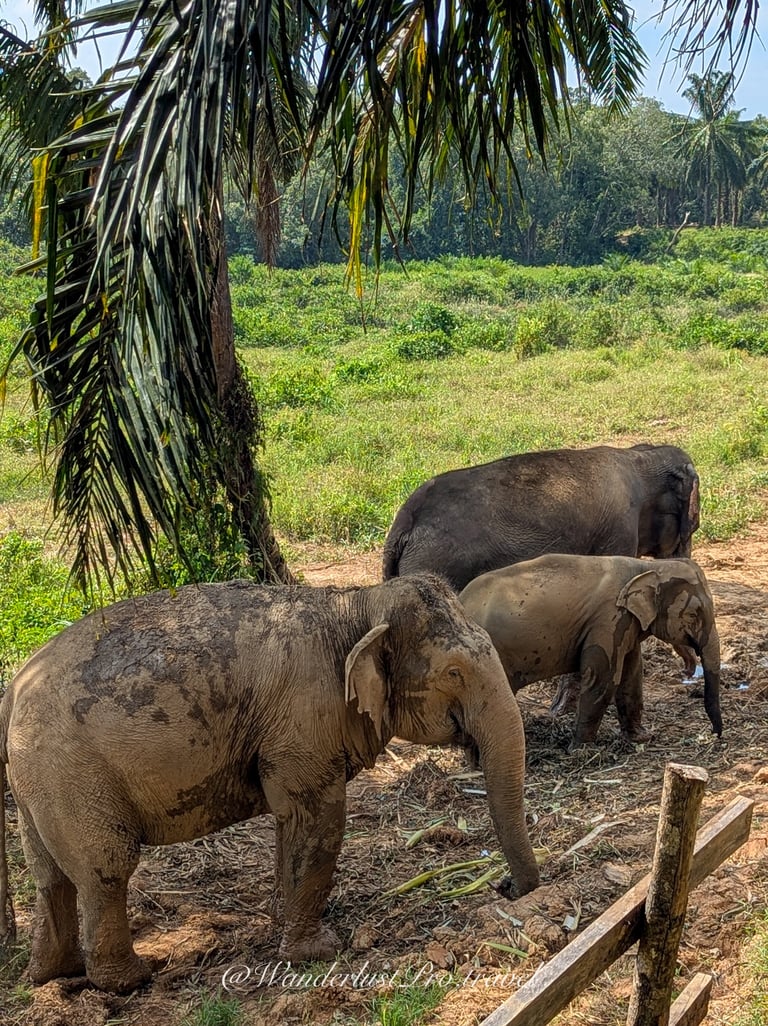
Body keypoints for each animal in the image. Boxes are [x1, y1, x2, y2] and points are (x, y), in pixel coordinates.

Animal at [0, 574, 539, 993]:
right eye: (454, 672)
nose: (509, 889)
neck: (355, 603)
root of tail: (14, 689)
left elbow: (291, 822)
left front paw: (282, 927)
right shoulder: (304, 717)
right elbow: (318, 820)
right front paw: (318, 951)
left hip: (38, 784)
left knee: (50, 874)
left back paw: (55, 976)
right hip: (71, 772)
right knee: (105, 869)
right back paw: (130, 980)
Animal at [459, 555, 722, 747]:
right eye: (693, 614)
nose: (716, 735)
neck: (647, 567)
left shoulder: (626, 626)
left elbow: (631, 675)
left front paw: (641, 737)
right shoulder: (608, 620)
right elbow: (602, 678)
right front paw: (580, 750)